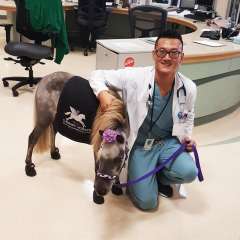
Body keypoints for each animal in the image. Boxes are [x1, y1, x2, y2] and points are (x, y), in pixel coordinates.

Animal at [24, 71, 129, 204]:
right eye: (100, 157)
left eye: (119, 159)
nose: (100, 190)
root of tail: (44, 79)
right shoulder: (96, 146)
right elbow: (96, 168)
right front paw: (97, 197)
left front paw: (117, 186)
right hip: (44, 119)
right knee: (32, 138)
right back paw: (29, 167)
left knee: (53, 132)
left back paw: (53, 152)